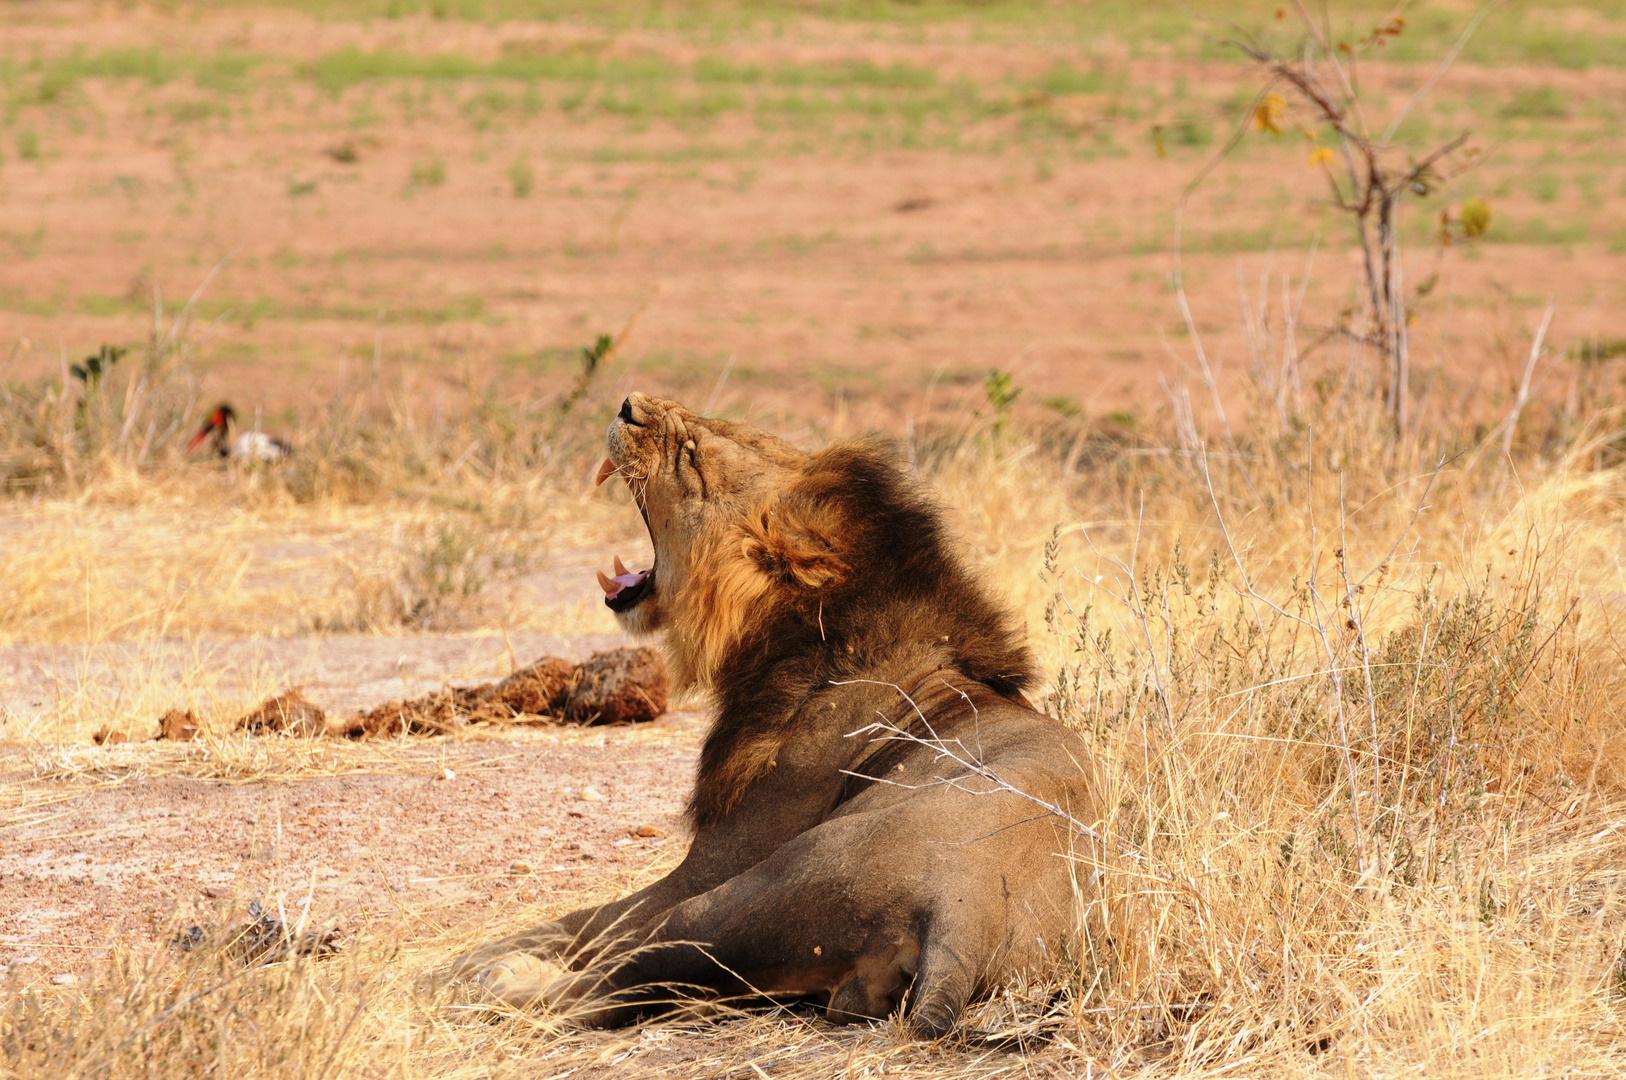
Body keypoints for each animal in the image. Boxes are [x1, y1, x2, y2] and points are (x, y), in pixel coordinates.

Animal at [452, 395, 1099, 1040]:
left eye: (692, 456)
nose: (630, 403)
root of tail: (964, 928)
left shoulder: (713, 861)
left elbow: (582, 922)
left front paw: (469, 961)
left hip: (750, 890)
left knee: (607, 983)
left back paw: (506, 980)